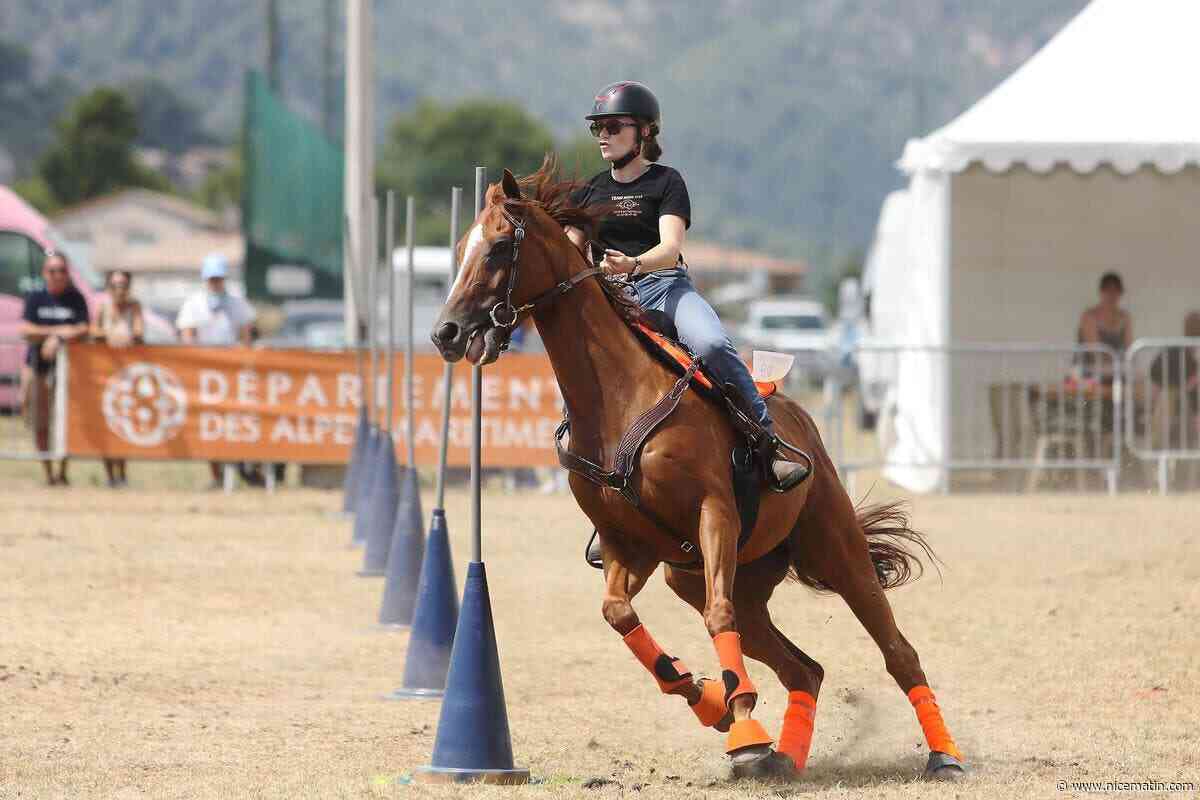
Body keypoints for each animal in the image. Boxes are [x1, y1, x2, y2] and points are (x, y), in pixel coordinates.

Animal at [430, 159, 965, 781]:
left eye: (497, 247)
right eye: (461, 247)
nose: (445, 333)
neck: (619, 398)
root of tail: (797, 417)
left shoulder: (714, 517)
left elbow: (716, 615)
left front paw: (743, 725)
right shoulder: (627, 546)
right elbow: (619, 615)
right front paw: (713, 704)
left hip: (836, 552)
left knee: (898, 652)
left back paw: (944, 755)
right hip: (702, 577)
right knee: (803, 668)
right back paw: (783, 758)